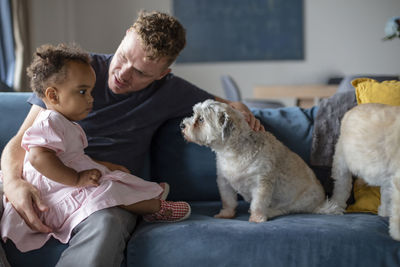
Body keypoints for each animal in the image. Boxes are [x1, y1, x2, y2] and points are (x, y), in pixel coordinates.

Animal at [181, 99, 338, 223]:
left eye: (201, 119)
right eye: (194, 114)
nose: (182, 125)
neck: (232, 152)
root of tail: (320, 204)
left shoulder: (261, 184)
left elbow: (258, 204)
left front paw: (257, 218)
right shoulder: (224, 182)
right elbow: (228, 201)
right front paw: (226, 214)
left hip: (299, 202)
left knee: (285, 209)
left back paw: (270, 212)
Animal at [330, 103, 400, 241]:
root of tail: (351, 111)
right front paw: (397, 234)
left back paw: (384, 212)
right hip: (341, 161)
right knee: (341, 187)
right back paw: (336, 206)